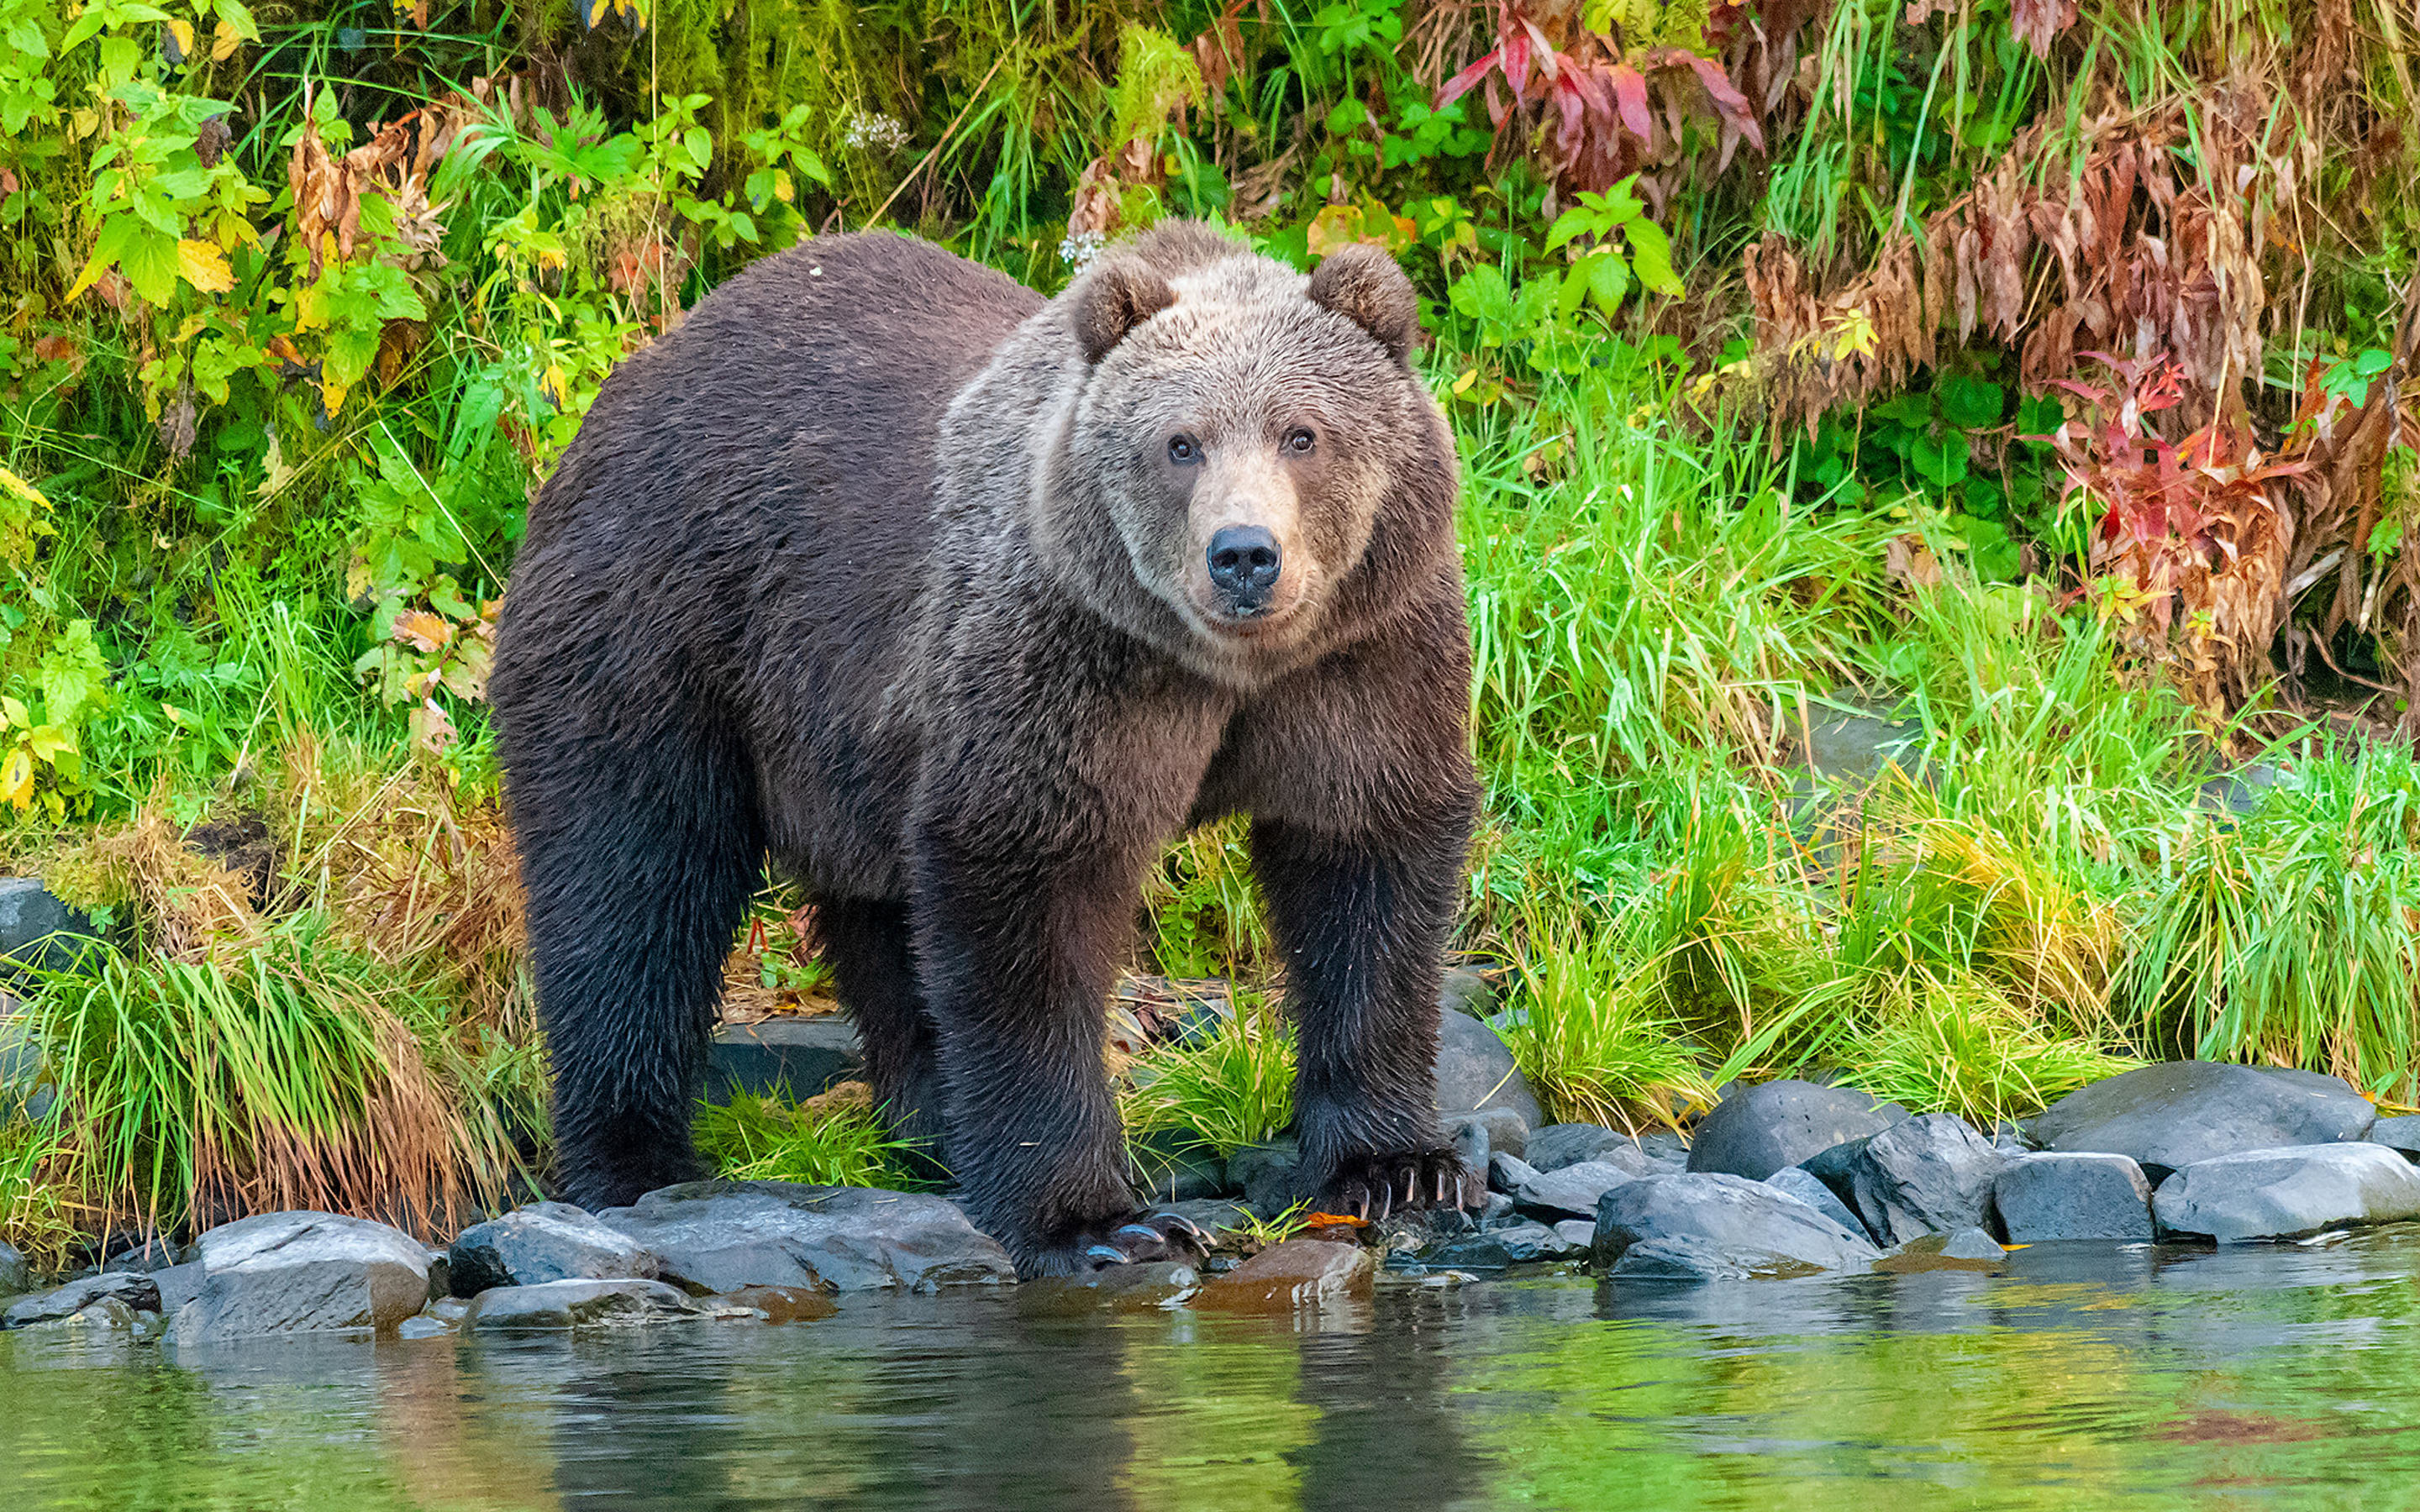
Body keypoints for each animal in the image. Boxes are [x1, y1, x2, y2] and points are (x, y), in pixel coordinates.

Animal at [486, 218, 1471, 1268]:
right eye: (1180, 444)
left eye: (1302, 434)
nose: (1243, 555)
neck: (1224, 668)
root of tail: (626, 389)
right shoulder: (1067, 654)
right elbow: (1025, 883)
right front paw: (1097, 1220)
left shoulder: (1364, 655)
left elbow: (1365, 863)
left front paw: (1397, 1166)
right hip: (658, 631)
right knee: (633, 883)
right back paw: (634, 1161)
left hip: (848, 733)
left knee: (879, 918)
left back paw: (927, 1124)